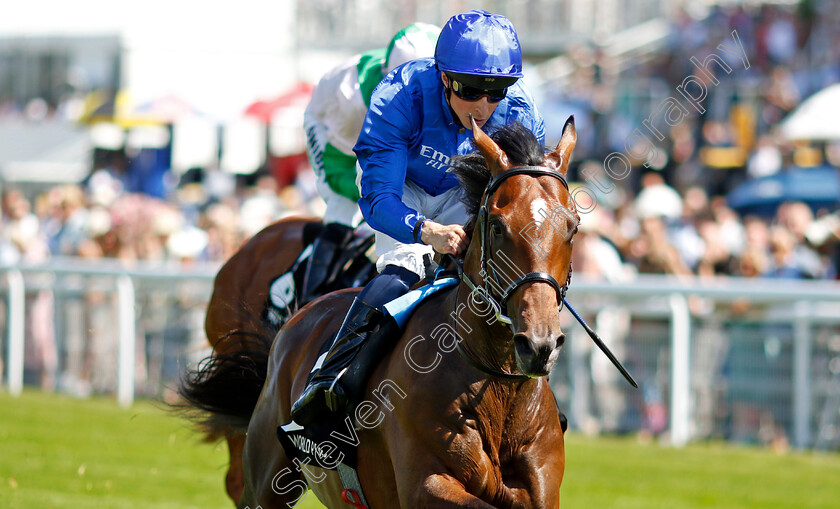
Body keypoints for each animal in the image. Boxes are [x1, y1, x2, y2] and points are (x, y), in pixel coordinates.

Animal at [183, 116, 576, 508]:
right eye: (497, 226)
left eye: (572, 227)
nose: (538, 343)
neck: (496, 388)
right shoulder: (425, 485)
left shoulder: (540, 489)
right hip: (268, 474)